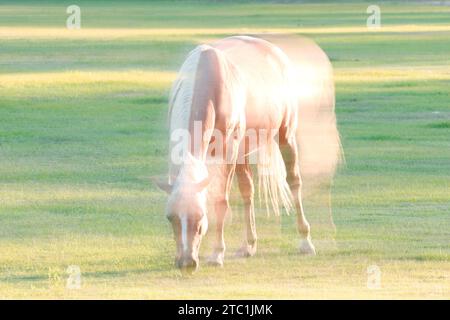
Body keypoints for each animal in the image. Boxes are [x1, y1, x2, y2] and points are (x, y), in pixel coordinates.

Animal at [156, 35, 342, 276]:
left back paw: (305, 242)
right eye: (171, 218)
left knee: (294, 182)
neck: (208, 81)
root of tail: (274, 51)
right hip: (243, 151)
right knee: (248, 189)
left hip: (285, 134)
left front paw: (217, 254)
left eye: (200, 218)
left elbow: (221, 201)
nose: (186, 263)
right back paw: (249, 245)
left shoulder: (229, 151)